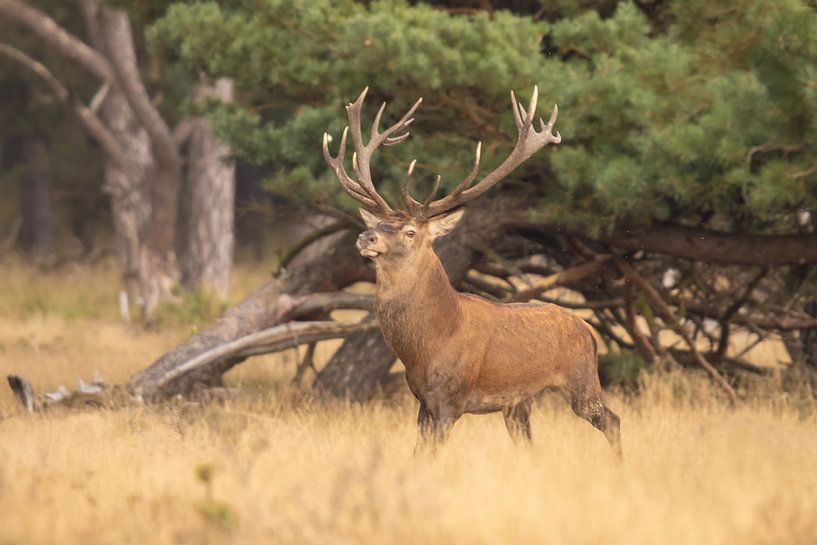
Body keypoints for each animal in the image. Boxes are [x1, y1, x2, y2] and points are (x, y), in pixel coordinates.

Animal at [322, 87, 621, 456]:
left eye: (410, 232)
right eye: (378, 223)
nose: (366, 237)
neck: (428, 346)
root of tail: (589, 331)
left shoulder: (451, 399)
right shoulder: (422, 402)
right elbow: (418, 454)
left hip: (582, 380)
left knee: (612, 420)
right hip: (520, 401)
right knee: (530, 442)